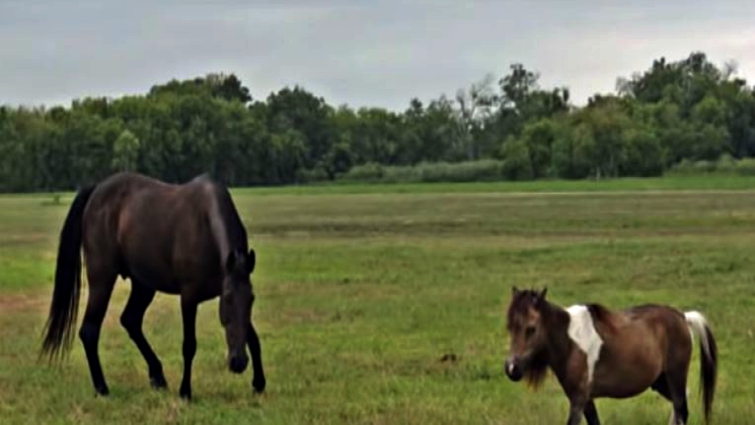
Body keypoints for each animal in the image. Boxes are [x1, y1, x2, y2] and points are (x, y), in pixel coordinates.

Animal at [39, 171, 266, 400]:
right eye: (228, 299)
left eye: (252, 299)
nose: (238, 362)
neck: (204, 226)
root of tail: (97, 190)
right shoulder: (189, 298)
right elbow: (189, 345)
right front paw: (185, 392)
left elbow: (253, 338)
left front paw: (259, 383)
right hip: (102, 279)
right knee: (89, 330)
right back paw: (102, 388)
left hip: (143, 285)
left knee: (130, 320)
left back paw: (158, 377)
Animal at [503, 287, 717, 425]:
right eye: (510, 327)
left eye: (531, 328)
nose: (511, 368)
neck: (570, 343)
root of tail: (683, 317)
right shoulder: (585, 400)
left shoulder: (578, 399)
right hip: (661, 382)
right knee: (679, 406)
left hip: (675, 376)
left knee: (682, 409)